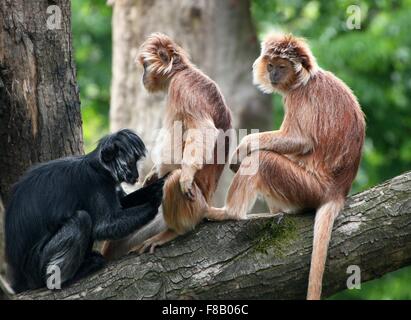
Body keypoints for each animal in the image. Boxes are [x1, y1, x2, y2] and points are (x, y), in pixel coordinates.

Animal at [4, 128, 165, 292]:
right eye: (131, 163)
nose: (136, 175)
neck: (96, 166)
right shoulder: (95, 181)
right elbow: (104, 226)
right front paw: (155, 201)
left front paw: (156, 188)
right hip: (37, 266)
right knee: (82, 219)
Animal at [102, 33, 233, 258]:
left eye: (146, 66)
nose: (142, 76)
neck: (182, 71)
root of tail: (208, 203)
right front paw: (152, 174)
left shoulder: (183, 87)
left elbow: (203, 129)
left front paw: (187, 175)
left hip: (196, 207)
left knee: (174, 180)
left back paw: (173, 231)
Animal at [209, 33, 366, 298]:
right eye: (271, 65)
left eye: (281, 67)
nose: (273, 74)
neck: (304, 80)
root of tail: (337, 192)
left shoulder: (299, 96)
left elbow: (299, 140)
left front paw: (244, 146)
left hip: (307, 187)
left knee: (261, 160)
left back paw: (229, 212)